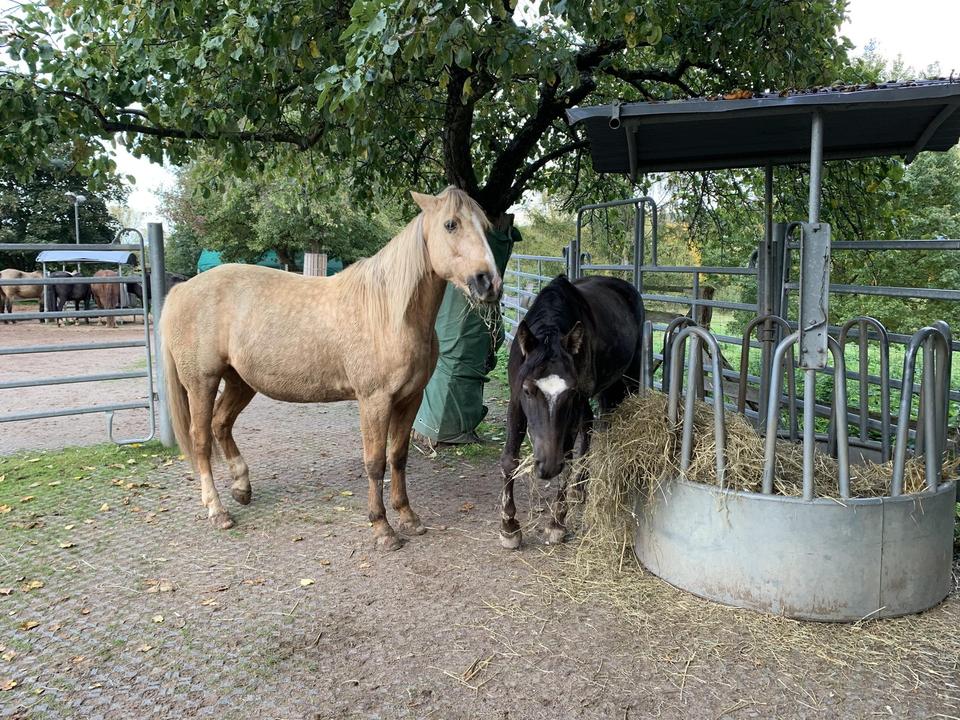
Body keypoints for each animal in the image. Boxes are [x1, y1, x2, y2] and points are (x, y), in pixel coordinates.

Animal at [161, 187, 502, 550]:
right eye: (451, 224)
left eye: (485, 227)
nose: (489, 283)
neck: (390, 314)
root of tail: (181, 289)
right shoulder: (374, 401)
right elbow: (375, 462)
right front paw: (382, 527)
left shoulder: (411, 399)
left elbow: (398, 458)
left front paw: (408, 517)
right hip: (202, 383)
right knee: (200, 441)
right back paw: (217, 510)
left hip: (240, 382)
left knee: (221, 424)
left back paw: (241, 487)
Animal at [499, 274, 645, 549]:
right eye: (528, 390)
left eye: (570, 392)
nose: (547, 466)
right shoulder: (515, 402)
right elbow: (509, 460)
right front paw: (509, 527)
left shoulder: (575, 405)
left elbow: (566, 459)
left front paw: (557, 523)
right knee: (590, 425)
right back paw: (579, 486)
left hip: (629, 377)